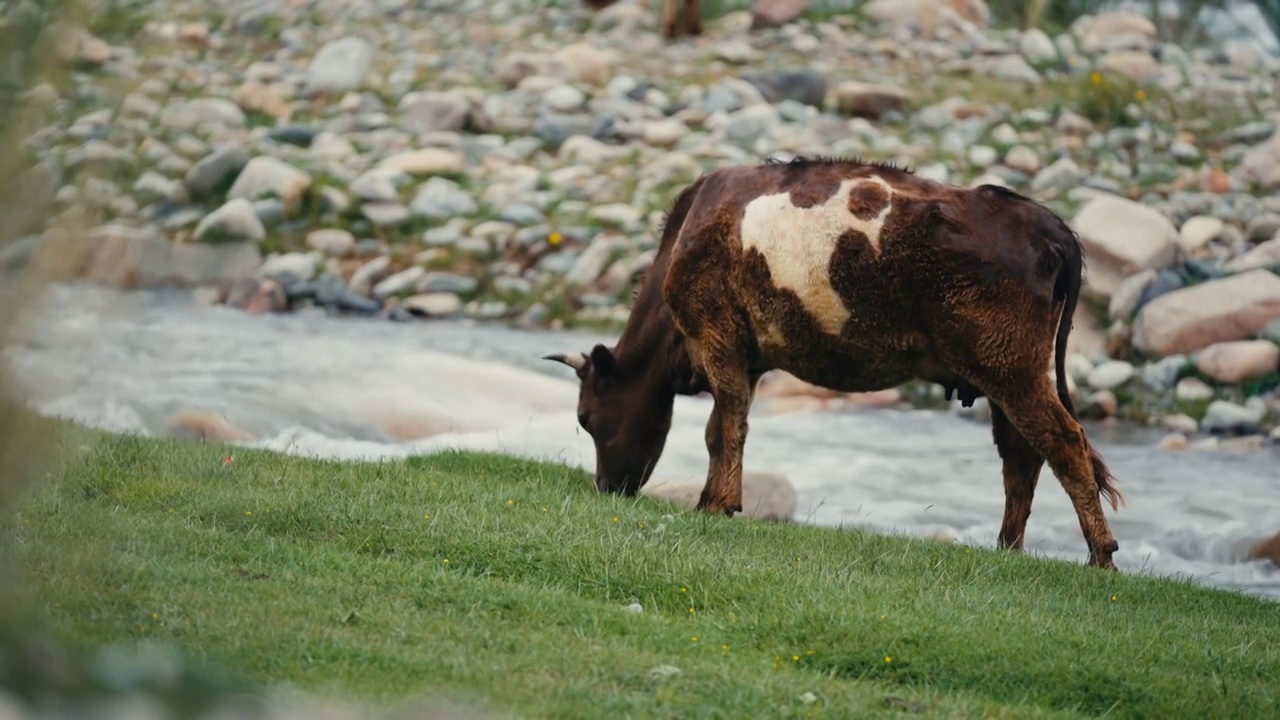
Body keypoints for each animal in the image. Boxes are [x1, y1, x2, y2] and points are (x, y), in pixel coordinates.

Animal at [545, 155, 1126, 566]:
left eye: (586, 418)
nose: (607, 488)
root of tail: (1046, 224)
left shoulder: (718, 338)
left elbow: (727, 426)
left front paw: (718, 504)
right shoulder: (747, 358)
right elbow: (720, 429)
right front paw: (713, 497)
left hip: (1011, 369)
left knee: (1064, 444)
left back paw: (1101, 557)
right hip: (1006, 376)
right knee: (1021, 457)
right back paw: (1008, 548)